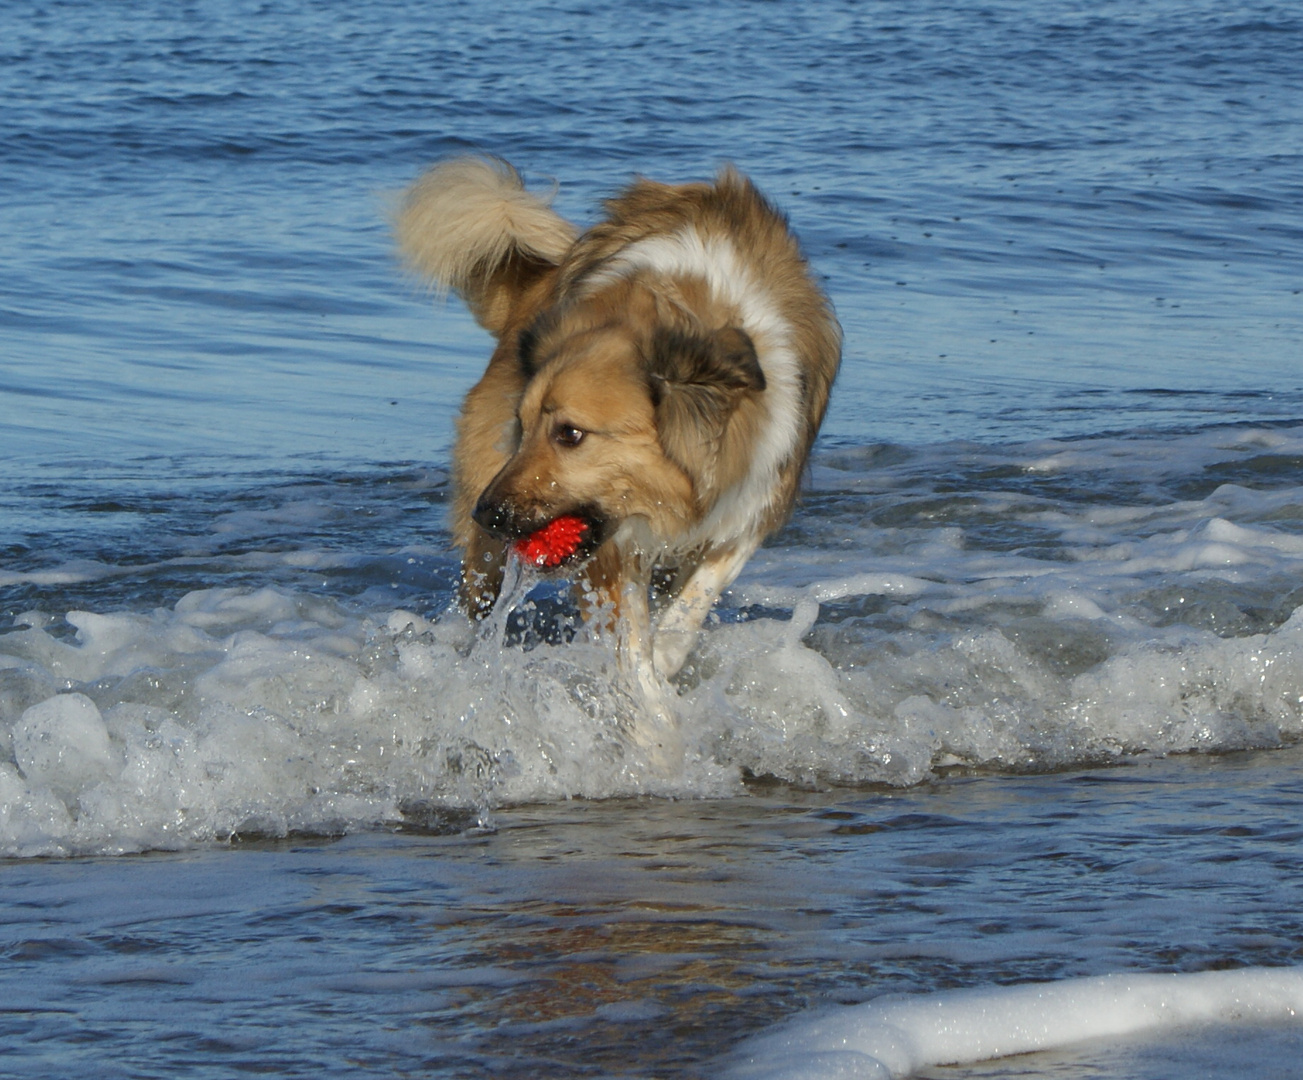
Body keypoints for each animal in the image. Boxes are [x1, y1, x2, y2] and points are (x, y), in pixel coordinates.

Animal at [396, 155, 839, 750]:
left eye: (570, 434)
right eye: (523, 426)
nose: (485, 513)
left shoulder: (752, 498)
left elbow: (699, 594)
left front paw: (668, 655)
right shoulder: (611, 548)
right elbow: (633, 654)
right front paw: (654, 728)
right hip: (485, 554)